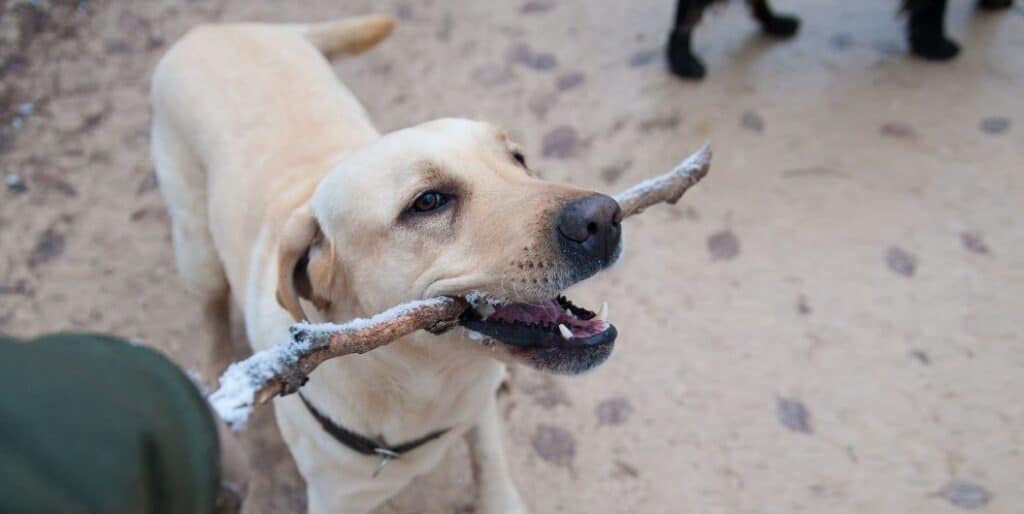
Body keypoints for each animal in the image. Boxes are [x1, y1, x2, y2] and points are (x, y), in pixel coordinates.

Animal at [149, 13, 618, 514]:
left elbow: (489, 456)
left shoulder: (479, 411)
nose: (606, 218)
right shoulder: (335, 498)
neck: (425, 385)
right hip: (195, 247)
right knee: (211, 308)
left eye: (518, 159)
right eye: (428, 202)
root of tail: (214, 28)